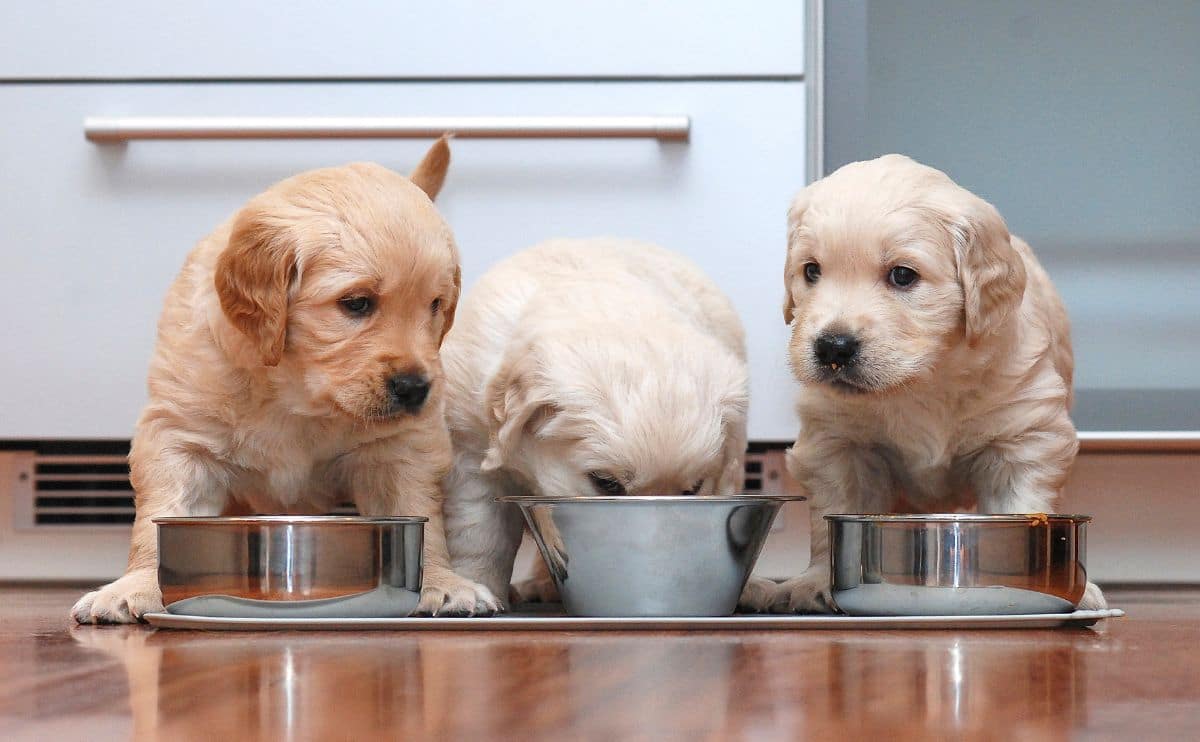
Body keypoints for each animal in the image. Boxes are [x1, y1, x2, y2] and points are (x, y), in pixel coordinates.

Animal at [72, 137, 499, 619]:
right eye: (356, 303)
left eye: (436, 305)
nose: (415, 388)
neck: (296, 393)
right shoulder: (179, 435)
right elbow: (158, 517)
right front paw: (137, 585)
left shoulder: (400, 447)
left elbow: (418, 512)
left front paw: (442, 582)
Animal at [777, 154, 1104, 612]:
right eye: (811, 271)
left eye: (902, 275)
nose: (832, 348)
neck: (924, 381)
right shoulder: (836, 443)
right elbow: (832, 516)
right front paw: (814, 582)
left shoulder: (1023, 437)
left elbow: (1021, 502)